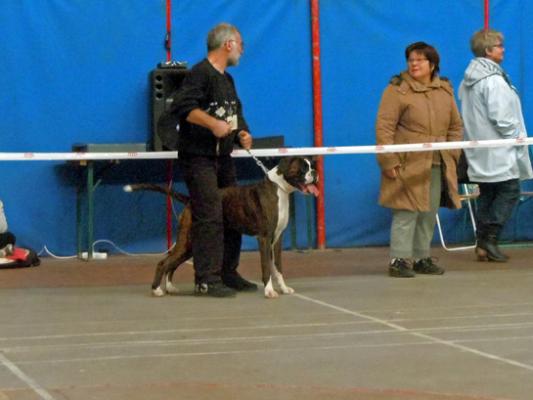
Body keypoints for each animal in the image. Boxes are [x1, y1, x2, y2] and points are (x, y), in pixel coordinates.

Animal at [123, 155, 316, 296]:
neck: (279, 189)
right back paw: (157, 289)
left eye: (311, 165)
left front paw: (283, 288)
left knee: (172, 263)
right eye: (303, 168)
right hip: (187, 241)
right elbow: (266, 267)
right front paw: (269, 291)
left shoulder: (276, 240)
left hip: (191, 245)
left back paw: (171, 287)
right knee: (163, 262)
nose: (315, 172)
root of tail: (191, 200)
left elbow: (278, 267)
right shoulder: (264, 238)